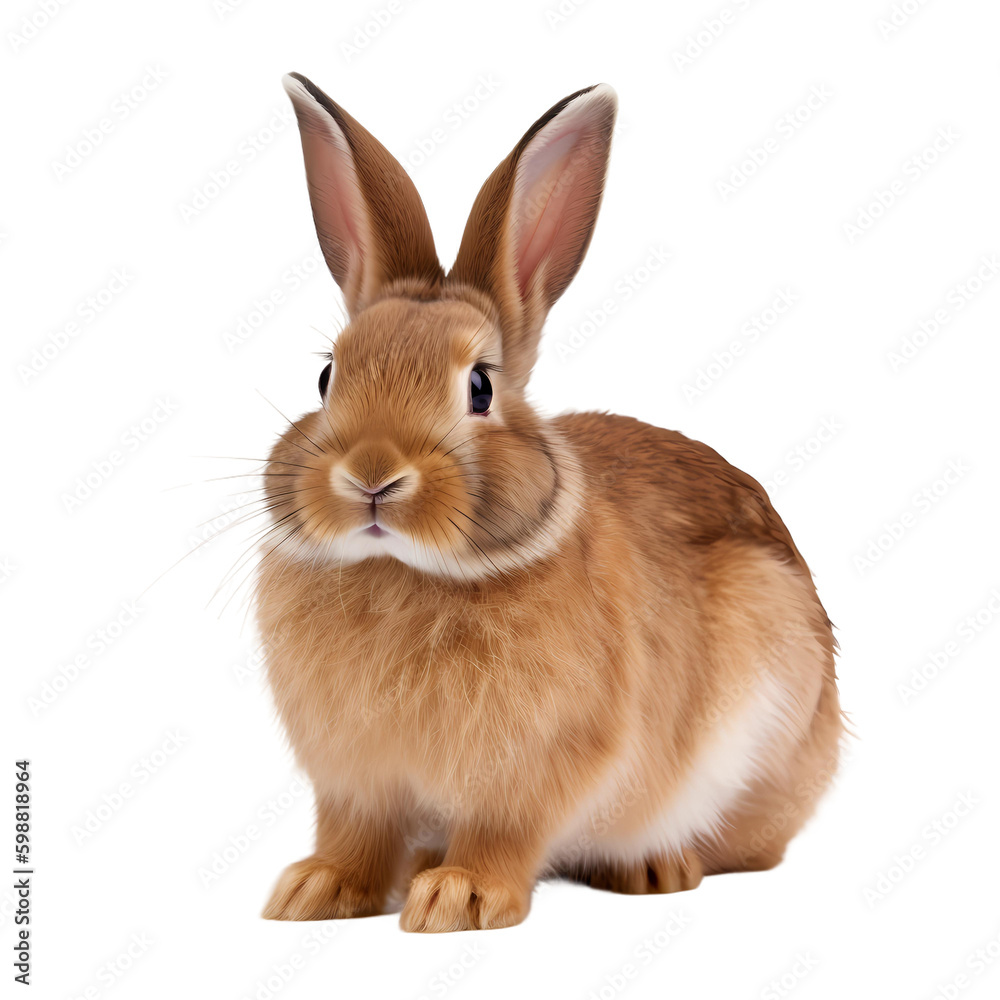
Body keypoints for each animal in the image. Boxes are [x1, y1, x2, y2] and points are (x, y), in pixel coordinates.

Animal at [257, 72, 843, 933]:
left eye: (480, 387)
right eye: (329, 376)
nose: (372, 475)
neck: (406, 570)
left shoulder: (539, 762)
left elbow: (503, 832)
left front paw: (460, 898)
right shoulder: (354, 780)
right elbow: (353, 835)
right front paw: (315, 889)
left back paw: (654, 866)